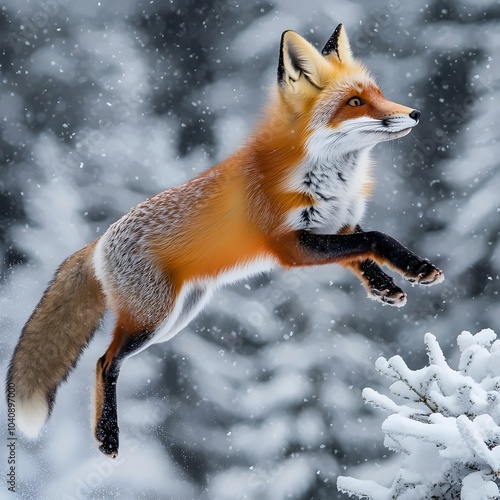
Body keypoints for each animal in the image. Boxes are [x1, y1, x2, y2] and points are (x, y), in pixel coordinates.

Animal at [6, 26, 446, 458]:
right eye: (355, 102)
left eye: (378, 93)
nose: (415, 113)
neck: (333, 180)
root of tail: (98, 242)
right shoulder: (291, 246)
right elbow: (376, 238)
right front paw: (413, 268)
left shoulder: (333, 225)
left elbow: (361, 250)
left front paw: (388, 284)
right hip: (151, 320)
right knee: (103, 362)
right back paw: (107, 435)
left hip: (175, 319)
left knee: (107, 361)